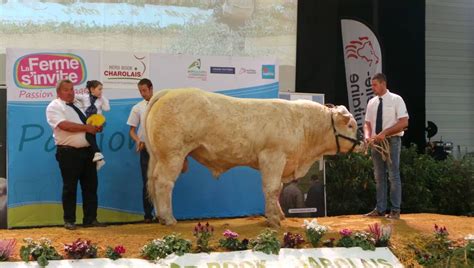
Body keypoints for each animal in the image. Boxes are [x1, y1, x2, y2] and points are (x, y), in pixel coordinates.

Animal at [144, 88, 362, 226]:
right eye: (351, 125)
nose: (363, 142)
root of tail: (170, 92)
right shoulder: (273, 157)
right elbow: (271, 188)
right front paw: (273, 220)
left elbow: (278, 189)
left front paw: (279, 215)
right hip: (173, 155)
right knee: (164, 183)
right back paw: (169, 219)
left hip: (160, 157)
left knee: (154, 181)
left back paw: (161, 217)